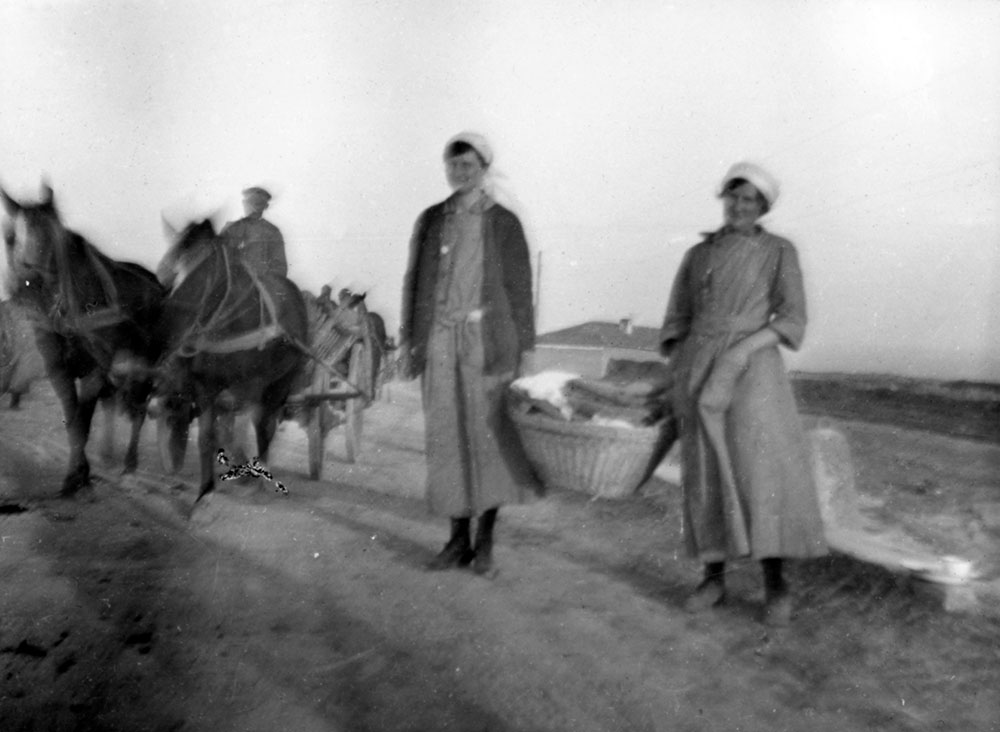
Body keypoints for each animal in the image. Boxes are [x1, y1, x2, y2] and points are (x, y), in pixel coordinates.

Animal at [0, 183, 164, 494]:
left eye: (51, 237)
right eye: (10, 236)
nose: (26, 287)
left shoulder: (95, 371)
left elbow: (82, 423)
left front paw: (77, 477)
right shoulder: (59, 371)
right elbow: (72, 421)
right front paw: (79, 472)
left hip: (145, 364)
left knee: (138, 409)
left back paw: (130, 463)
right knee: (113, 403)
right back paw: (108, 452)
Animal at [152, 217, 306, 504]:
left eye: (201, 273)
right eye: (165, 268)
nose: (165, 330)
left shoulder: (250, 386)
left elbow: (241, 427)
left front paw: (248, 475)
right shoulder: (203, 385)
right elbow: (209, 436)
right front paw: (205, 489)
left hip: (280, 383)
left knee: (265, 424)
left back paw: (262, 470)